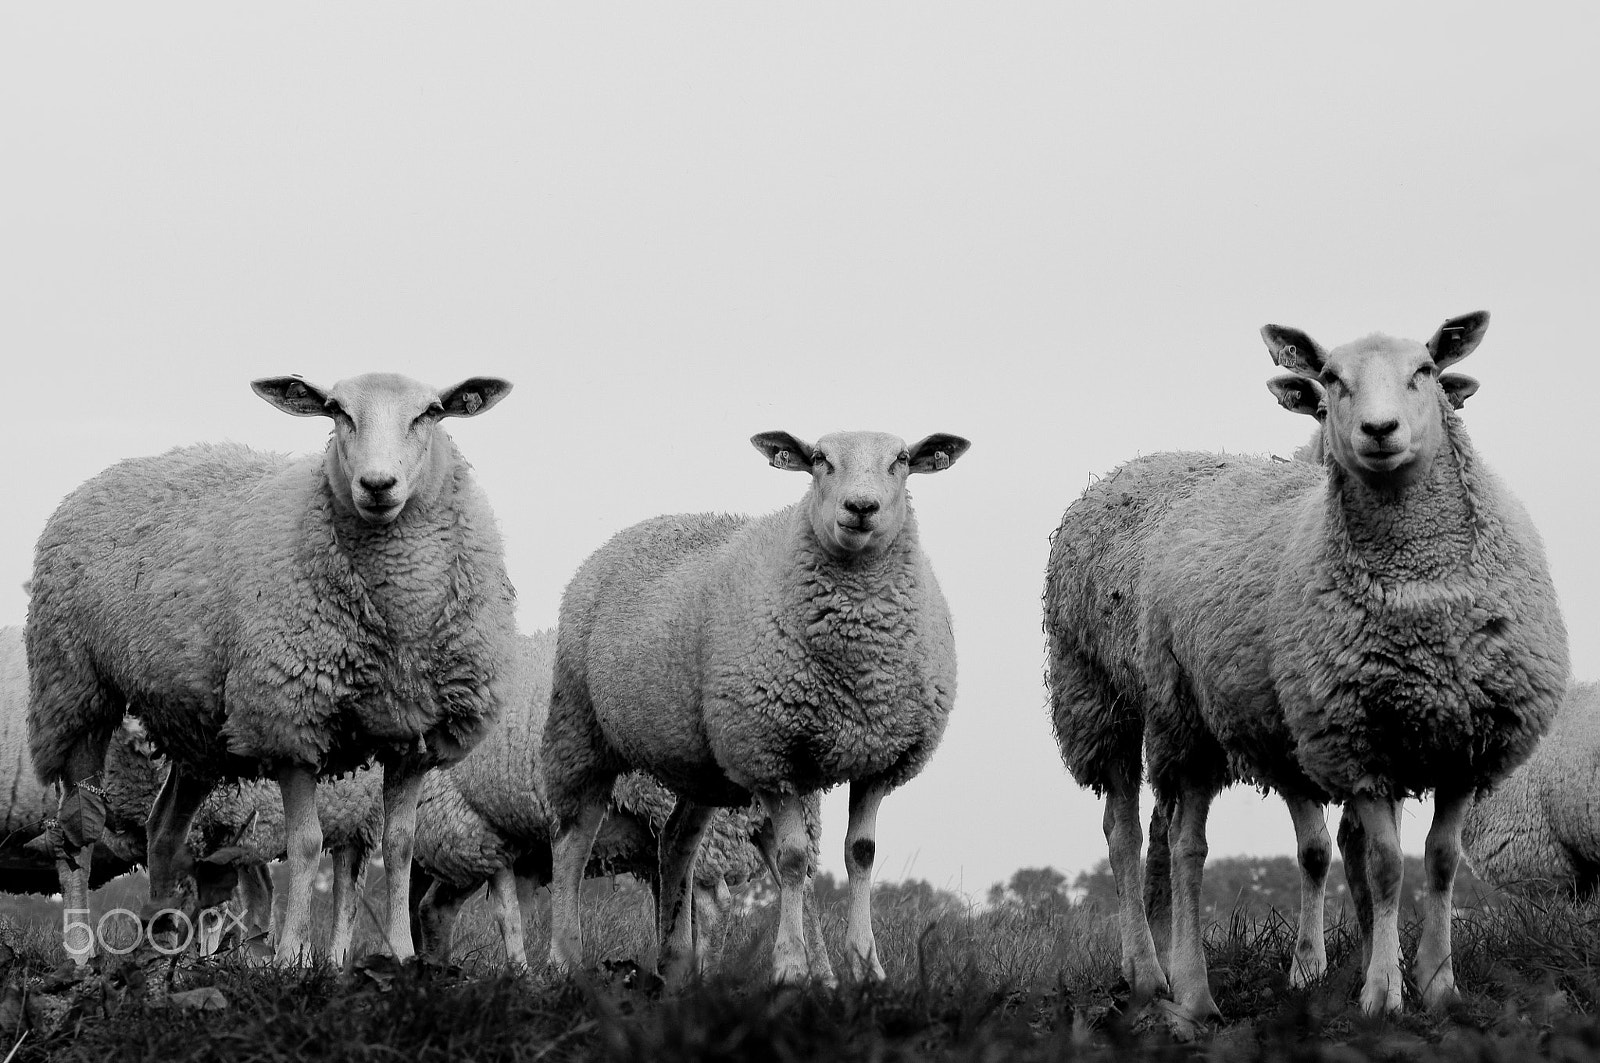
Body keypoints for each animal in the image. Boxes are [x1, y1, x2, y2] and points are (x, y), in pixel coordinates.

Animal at [26, 373, 518, 960]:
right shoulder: (288, 720)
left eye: (431, 412)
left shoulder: (412, 734)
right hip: (74, 686)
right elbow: (305, 843)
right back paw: (81, 951)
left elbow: (399, 847)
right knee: (75, 830)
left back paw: (163, 946)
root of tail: (104, 475)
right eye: (336, 411)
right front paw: (288, 957)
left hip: (194, 729)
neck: (399, 618)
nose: (377, 484)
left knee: (163, 830)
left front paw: (402, 957)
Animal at [544, 425, 966, 986]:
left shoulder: (880, 760)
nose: (861, 507)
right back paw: (564, 958)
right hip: (581, 726)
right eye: (819, 459)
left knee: (676, 842)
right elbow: (791, 860)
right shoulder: (769, 754)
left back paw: (676, 964)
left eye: (900, 460)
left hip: (700, 762)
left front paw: (867, 967)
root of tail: (628, 534)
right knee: (573, 839)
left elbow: (861, 855)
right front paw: (789, 968)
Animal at [1043, 313, 1568, 1024]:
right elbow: (1375, 863)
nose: (1380, 430)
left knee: (1163, 835)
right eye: (1330, 381)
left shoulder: (1464, 739)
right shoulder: (1344, 733)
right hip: (1118, 701)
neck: (1418, 599)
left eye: (1425, 371)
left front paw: (1435, 983)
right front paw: (1371, 989)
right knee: (1149, 838)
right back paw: (1172, 984)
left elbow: (1434, 860)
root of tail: (1135, 464)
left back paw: (1163, 970)